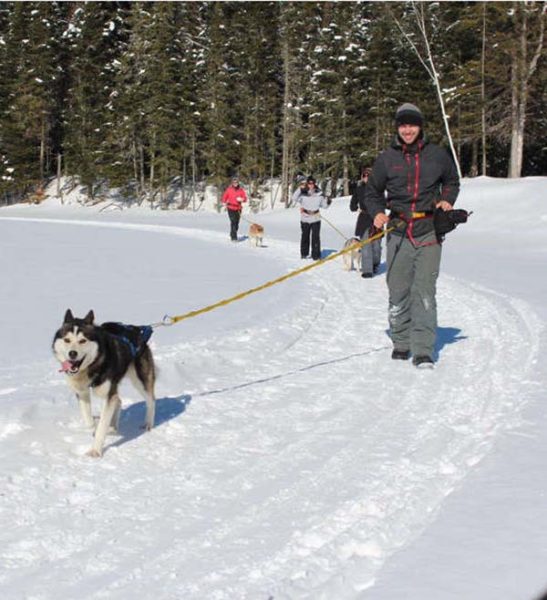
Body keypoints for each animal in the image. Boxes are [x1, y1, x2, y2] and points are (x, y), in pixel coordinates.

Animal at [52, 312, 156, 458]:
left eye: (82, 340)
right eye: (67, 340)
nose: (72, 353)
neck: (92, 366)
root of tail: (137, 330)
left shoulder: (107, 394)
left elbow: (102, 426)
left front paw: (95, 450)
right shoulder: (82, 392)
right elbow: (89, 421)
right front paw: (95, 426)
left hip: (140, 380)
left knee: (151, 400)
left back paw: (148, 424)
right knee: (118, 400)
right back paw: (113, 427)